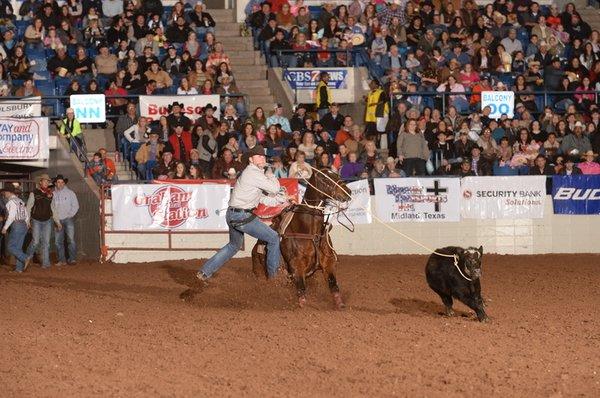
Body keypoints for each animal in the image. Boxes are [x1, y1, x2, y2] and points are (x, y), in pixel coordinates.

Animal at [252, 169, 352, 310]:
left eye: (337, 175)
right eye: (325, 178)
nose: (347, 192)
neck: (311, 230)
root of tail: (256, 247)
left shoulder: (329, 262)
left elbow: (333, 284)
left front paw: (340, 304)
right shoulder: (296, 264)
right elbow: (301, 288)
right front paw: (304, 307)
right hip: (260, 272)